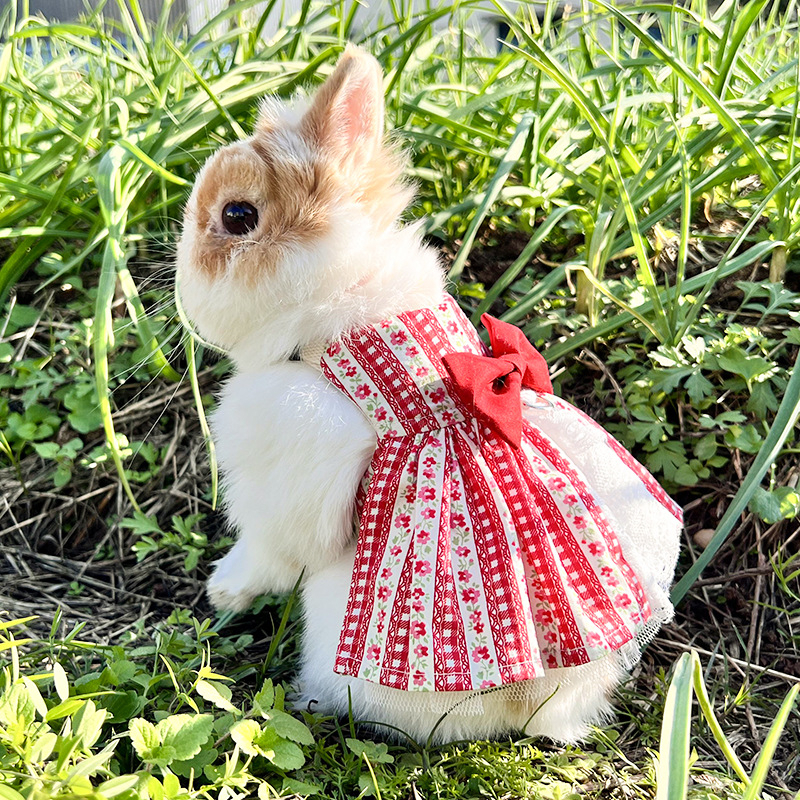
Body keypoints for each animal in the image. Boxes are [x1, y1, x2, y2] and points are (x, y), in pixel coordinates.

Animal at [177, 45, 680, 744]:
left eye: (237, 216)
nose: (179, 287)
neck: (338, 309)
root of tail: (534, 709)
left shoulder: (284, 459)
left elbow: (270, 552)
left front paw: (223, 591)